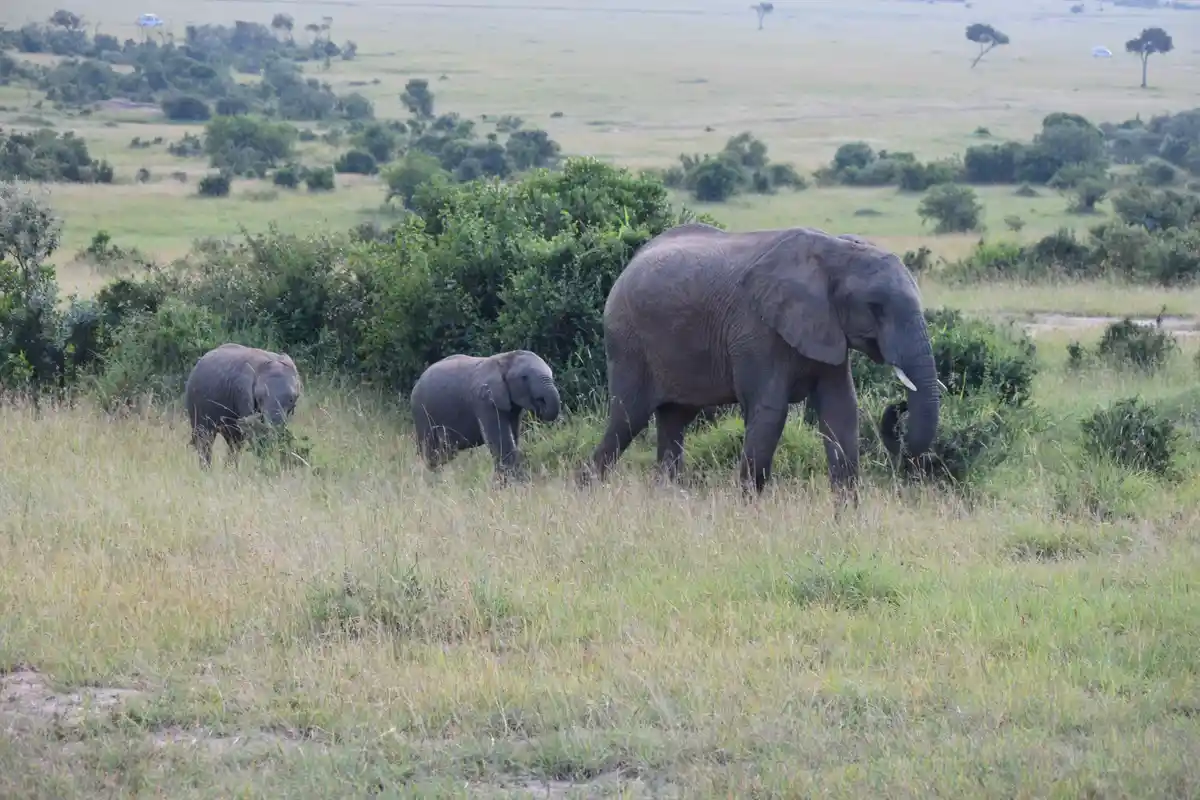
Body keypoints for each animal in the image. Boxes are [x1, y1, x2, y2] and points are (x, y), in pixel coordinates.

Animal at [409, 349, 562, 480]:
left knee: (444, 454)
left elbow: (512, 436)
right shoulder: (485, 400)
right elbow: (501, 440)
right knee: (431, 453)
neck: (504, 359)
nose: (540, 407)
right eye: (524, 378)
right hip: (422, 412)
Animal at [579, 222, 942, 499]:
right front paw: (747, 514)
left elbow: (841, 411)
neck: (835, 252)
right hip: (628, 342)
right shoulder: (755, 329)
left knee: (674, 420)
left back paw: (667, 501)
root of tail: (627, 265)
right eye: (875, 307)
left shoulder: (827, 328)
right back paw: (586, 493)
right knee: (627, 419)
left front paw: (848, 521)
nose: (899, 405)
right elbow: (769, 411)